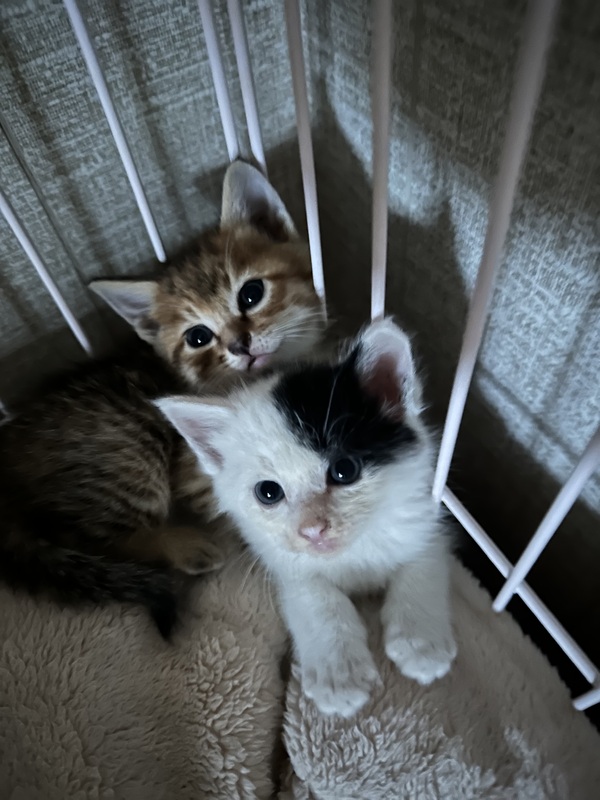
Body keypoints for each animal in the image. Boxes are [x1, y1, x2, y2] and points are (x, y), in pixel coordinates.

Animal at [0, 160, 325, 638]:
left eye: (251, 294)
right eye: (198, 337)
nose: (240, 345)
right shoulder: (200, 475)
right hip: (127, 448)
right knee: (95, 536)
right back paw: (186, 547)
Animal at [156, 317, 457, 715]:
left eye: (345, 470)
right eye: (268, 492)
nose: (314, 530)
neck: (354, 552)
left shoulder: (423, 511)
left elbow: (423, 563)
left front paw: (421, 644)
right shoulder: (285, 562)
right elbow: (315, 598)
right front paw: (339, 677)